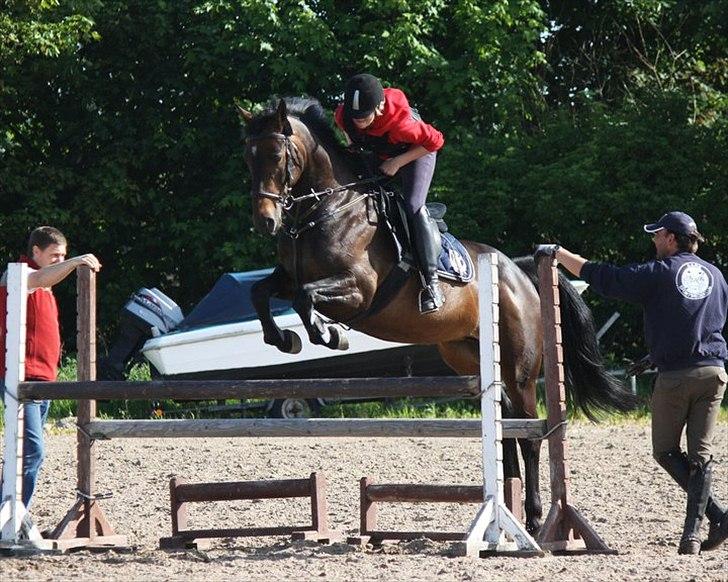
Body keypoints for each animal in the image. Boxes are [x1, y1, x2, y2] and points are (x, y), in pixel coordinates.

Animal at [240, 98, 636, 536]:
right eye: (248, 158)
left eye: (277, 156)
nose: (265, 222)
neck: (327, 211)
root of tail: (519, 272)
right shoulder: (289, 277)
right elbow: (262, 293)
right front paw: (283, 339)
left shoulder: (358, 289)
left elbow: (306, 300)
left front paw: (329, 336)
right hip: (471, 356)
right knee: (507, 431)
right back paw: (510, 515)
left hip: (521, 370)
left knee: (530, 436)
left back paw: (533, 520)